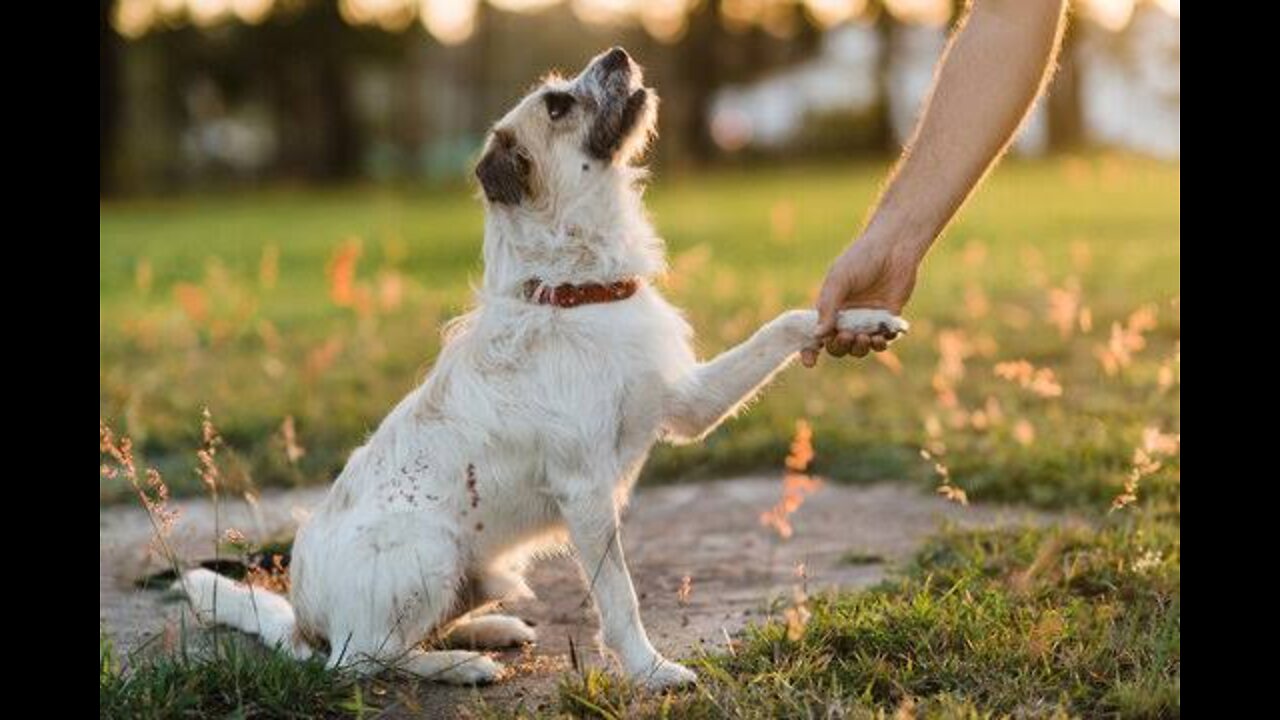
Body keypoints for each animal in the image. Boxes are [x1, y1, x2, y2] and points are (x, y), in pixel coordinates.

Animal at [175, 47, 906, 686]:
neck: (578, 290)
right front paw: (649, 672)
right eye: (557, 105)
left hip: (482, 572)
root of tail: (305, 620)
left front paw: (862, 318)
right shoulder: (587, 493)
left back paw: (488, 630)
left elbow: (785, 324)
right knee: (362, 661)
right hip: (424, 552)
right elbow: (620, 596)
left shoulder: (684, 407)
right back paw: (459, 665)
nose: (618, 52)